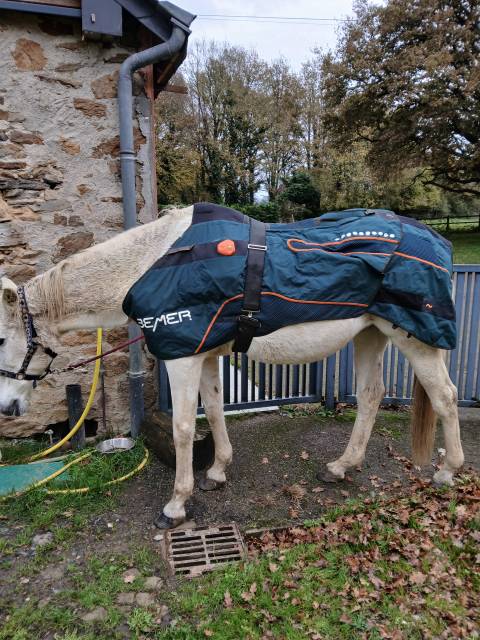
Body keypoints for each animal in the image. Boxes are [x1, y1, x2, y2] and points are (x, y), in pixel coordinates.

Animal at [0, 205, 464, 528]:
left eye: (2, 339)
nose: (7, 408)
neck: (154, 262)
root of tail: (437, 241)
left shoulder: (182, 358)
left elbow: (183, 427)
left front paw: (176, 505)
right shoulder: (205, 355)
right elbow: (215, 411)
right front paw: (217, 471)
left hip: (415, 339)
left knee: (445, 397)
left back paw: (447, 472)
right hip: (371, 334)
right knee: (370, 396)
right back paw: (340, 466)